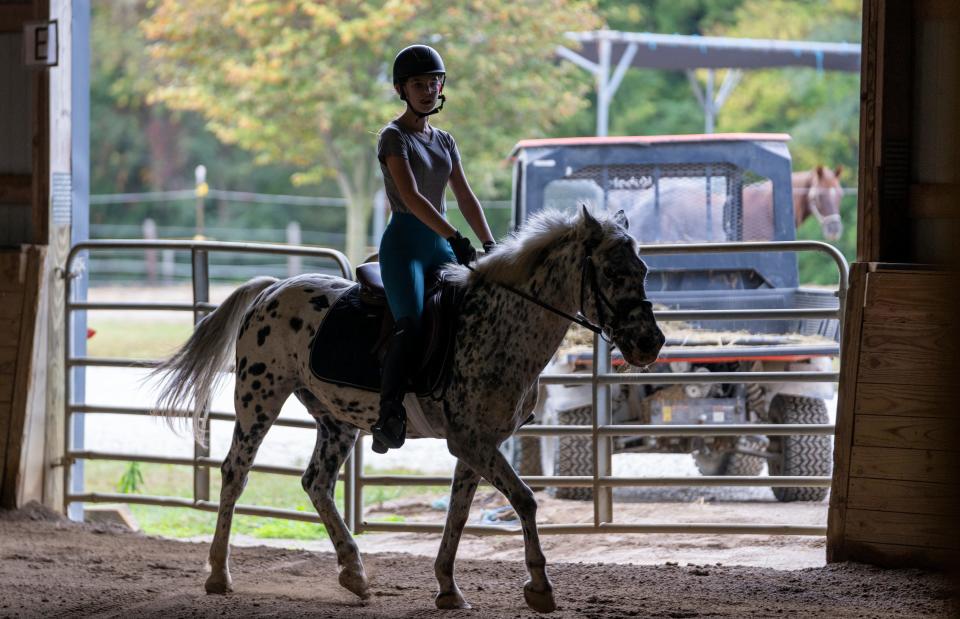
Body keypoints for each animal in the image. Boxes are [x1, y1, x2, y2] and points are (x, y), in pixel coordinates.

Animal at [150, 206, 664, 612]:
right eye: (613, 273)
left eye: (642, 270)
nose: (650, 343)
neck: (502, 323)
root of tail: (274, 287)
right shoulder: (472, 442)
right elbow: (524, 500)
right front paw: (539, 586)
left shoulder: (477, 444)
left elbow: (458, 513)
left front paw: (448, 588)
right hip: (259, 399)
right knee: (235, 473)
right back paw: (219, 574)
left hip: (336, 420)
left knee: (316, 483)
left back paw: (354, 573)